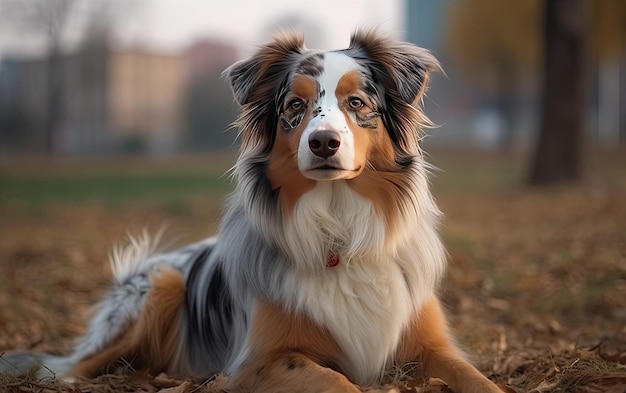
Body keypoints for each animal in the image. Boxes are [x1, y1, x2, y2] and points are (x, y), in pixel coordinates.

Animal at [0, 29, 500, 390]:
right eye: (295, 105)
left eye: (357, 102)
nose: (323, 142)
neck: (338, 229)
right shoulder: (261, 360)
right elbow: (339, 383)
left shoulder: (433, 347)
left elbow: (480, 381)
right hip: (158, 285)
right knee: (69, 368)